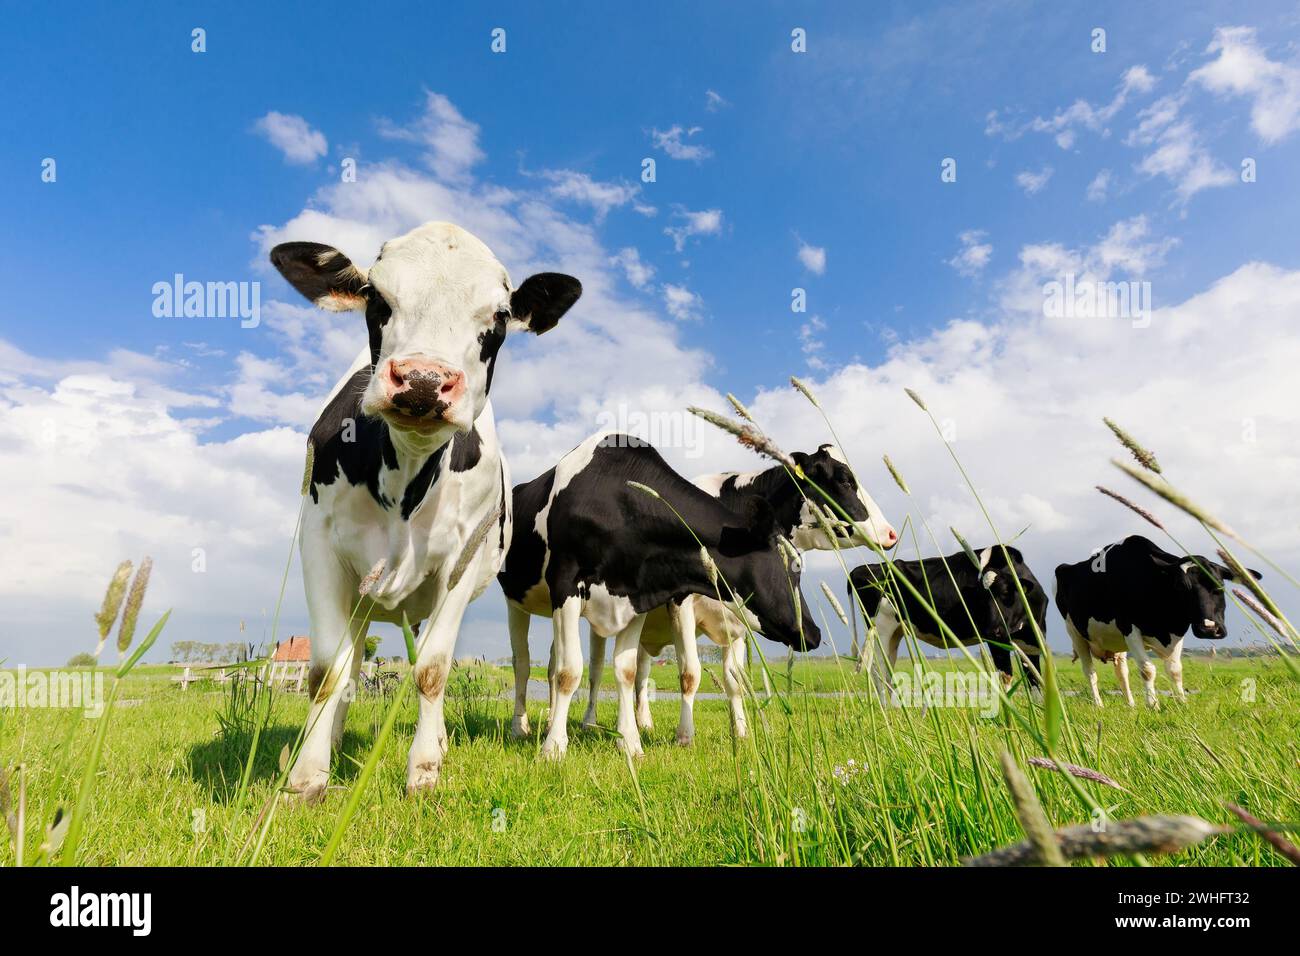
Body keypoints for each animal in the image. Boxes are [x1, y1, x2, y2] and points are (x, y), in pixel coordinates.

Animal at [269, 222, 579, 801]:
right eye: (376, 297)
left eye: (499, 317)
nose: (422, 381)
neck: (406, 478)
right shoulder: (319, 544)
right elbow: (326, 672)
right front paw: (306, 777)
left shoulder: (461, 562)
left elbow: (432, 670)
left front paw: (425, 770)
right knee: (350, 665)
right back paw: (328, 741)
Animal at [499, 429, 821, 759]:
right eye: (796, 567)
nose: (814, 633)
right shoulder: (565, 585)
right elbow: (570, 671)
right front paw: (553, 748)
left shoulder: (637, 597)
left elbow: (626, 671)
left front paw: (630, 743)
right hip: (517, 601)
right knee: (523, 663)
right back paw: (520, 727)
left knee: (554, 663)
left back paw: (553, 719)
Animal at [585, 444, 899, 743]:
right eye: (844, 480)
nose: (891, 533)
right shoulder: (681, 604)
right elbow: (690, 673)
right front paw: (685, 735)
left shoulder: (739, 619)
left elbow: (734, 679)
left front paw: (741, 732)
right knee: (597, 669)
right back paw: (590, 722)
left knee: (641, 670)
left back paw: (643, 723)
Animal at [847, 548, 1050, 697]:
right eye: (981, 597)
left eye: (1006, 592)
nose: (990, 630)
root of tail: (863, 568)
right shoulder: (999, 642)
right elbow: (1005, 677)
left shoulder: (1032, 644)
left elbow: (1036, 681)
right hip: (881, 628)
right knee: (878, 670)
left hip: (895, 633)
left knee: (888, 670)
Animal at [1055, 535, 1258, 707]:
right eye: (1181, 587)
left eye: (1220, 586)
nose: (1209, 629)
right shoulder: (1129, 628)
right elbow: (1147, 669)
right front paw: (1152, 704)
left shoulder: (1176, 632)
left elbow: (1175, 669)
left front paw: (1182, 702)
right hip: (1075, 634)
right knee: (1090, 672)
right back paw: (1098, 705)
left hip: (1115, 642)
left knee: (1121, 671)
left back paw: (1130, 704)